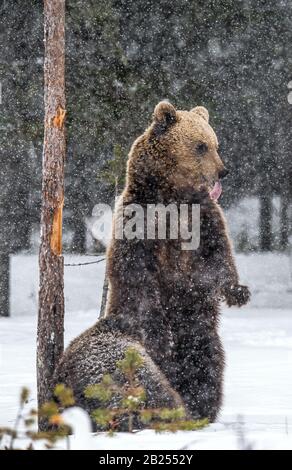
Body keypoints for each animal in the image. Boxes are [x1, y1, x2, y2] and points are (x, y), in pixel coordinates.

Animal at [54, 103, 251, 426]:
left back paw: (199, 408)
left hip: (197, 330)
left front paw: (238, 291)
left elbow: (218, 259)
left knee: (206, 364)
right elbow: (138, 276)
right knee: (144, 380)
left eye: (216, 144)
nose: (223, 170)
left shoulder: (204, 220)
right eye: (200, 145)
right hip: (121, 353)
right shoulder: (140, 224)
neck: (173, 196)